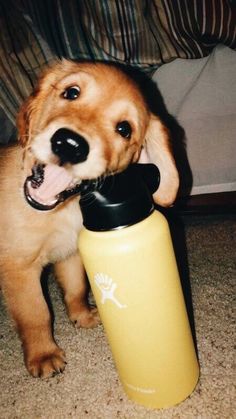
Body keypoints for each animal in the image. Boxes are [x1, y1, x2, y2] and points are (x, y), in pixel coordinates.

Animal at [0, 60, 179, 378]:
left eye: (124, 129)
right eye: (71, 92)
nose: (69, 144)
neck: (63, 210)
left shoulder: (70, 255)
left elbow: (76, 289)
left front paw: (81, 316)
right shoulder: (19, 268)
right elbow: (36, 313)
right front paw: (43, 354)